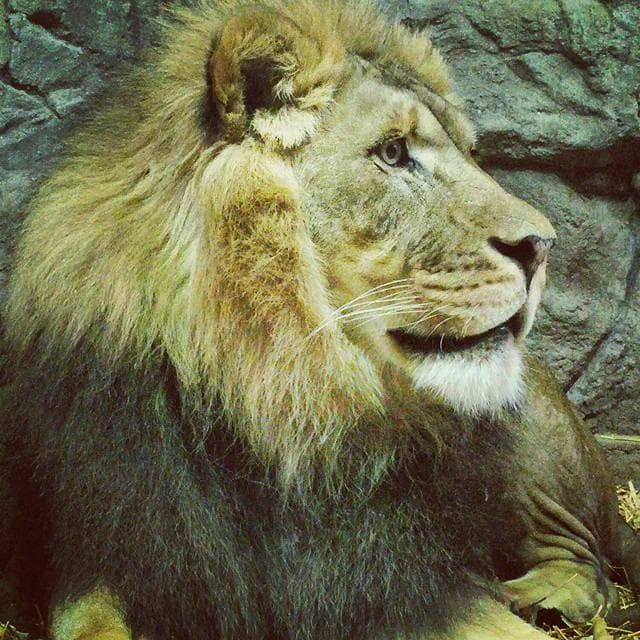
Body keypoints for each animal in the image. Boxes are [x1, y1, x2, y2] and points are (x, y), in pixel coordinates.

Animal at [1, 1, 638, 639]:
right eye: (392, 153)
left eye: (470, 154)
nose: (542, 246)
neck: (269, 411)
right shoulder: (109, 555)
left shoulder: (393, 583)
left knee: (585, 558)